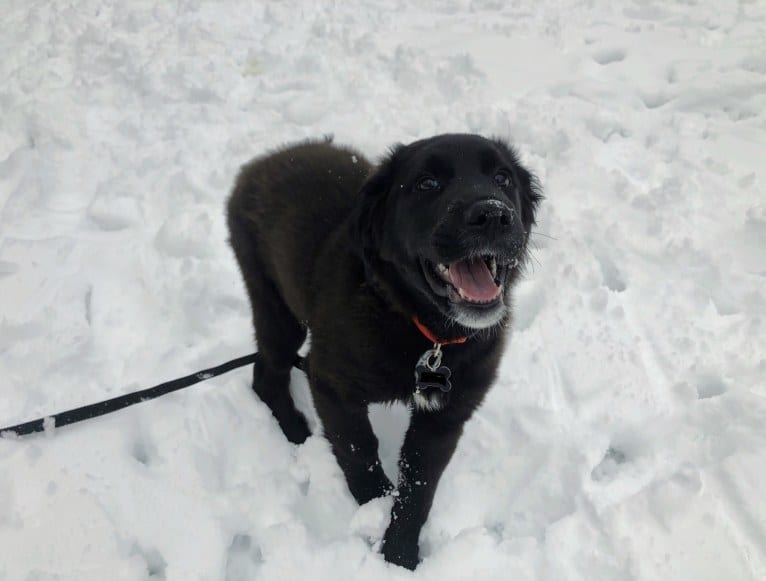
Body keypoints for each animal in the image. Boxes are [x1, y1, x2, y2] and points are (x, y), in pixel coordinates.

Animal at [225, 133, 544, 568]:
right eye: (427, 183)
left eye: (502, 177)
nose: (494, 215)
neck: (423, 333)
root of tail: (262, 162)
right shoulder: (331, 384)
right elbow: (360, 452)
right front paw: (374, 519)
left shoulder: (446, 415)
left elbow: (419, 486)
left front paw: (399, 555)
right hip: (276, 309)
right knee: (266, 375)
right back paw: (295, 432)